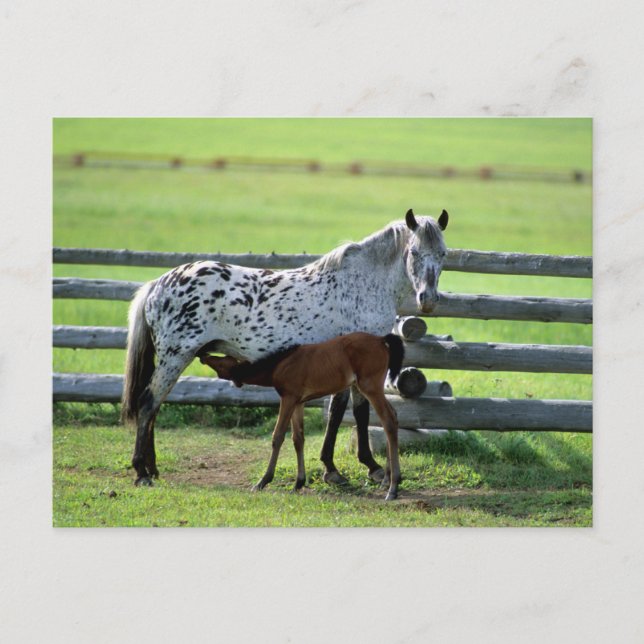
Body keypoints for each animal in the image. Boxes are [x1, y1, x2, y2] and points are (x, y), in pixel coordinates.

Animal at [199, 332, 405, 500]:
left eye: (221, 361)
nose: (202, 354)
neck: (281, 364)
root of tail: (381, 340)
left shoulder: (288, 398)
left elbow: (278, 436)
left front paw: (263, 481)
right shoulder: (298, 402)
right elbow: (298, 438)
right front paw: (298, 482)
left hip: (370, 387)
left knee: (388, 419)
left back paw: (392, 487)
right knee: (393, 416)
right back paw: (388, 480)